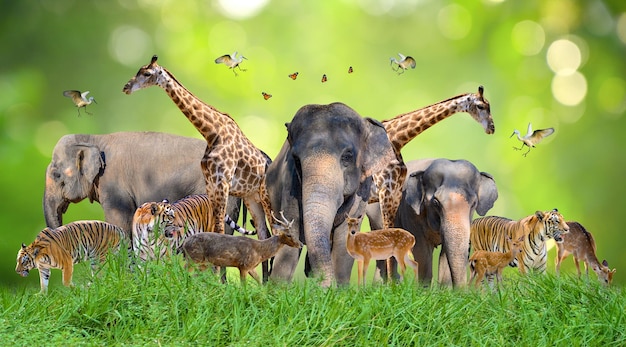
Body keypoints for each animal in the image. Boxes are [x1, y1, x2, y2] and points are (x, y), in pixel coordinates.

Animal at [123, 55, 274, 278]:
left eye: (147, 73)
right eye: (138, 71)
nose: (126, 87)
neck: (212, 132)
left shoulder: (222, 185)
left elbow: (219, 231)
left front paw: (218, 280)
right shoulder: (211, 184)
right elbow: (213, 231)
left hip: (265, 196)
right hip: (251, 199)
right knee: (265, 234)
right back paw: (266, 283)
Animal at [264, 102, 394, 286]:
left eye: (347, 156)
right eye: (296, 159)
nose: (322, 285)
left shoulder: (362, 189)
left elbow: (344, 239)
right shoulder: (290, 184)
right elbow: (290, 230)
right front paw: (277, 289)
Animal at [364, 159, 494, 286]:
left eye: (474, 203)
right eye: (435, 202)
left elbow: (445, 252)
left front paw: (445, 289)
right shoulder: (410, 211)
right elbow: (422, 250)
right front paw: (423, 290)